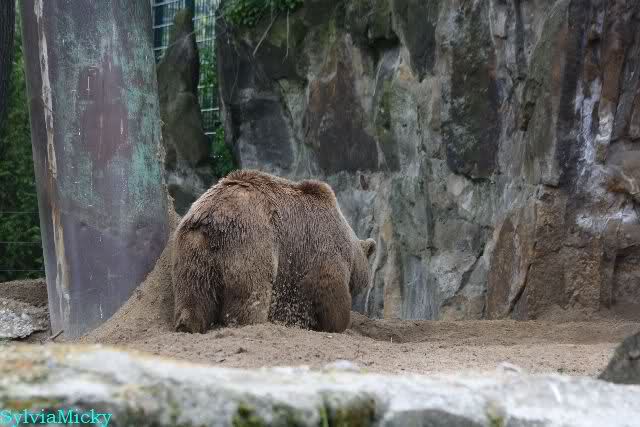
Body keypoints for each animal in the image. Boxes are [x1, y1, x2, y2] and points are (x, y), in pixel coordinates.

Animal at [171, 169, 376, 334]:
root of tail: (211, 216)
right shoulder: (322, 247)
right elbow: (330, 289)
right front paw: (338, 324)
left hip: (192, 249)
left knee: (194, 292)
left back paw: (187, 325)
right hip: (251, 242)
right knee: (252, 293)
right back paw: (248, 323)